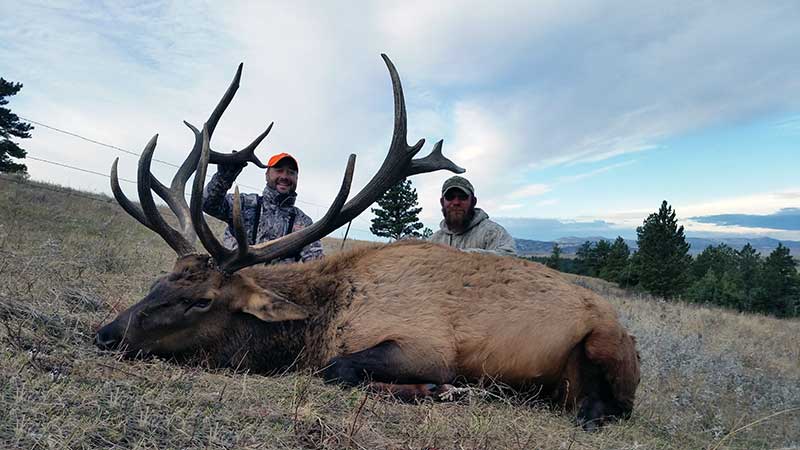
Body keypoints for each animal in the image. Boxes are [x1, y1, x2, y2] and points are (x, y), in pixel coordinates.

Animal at [95, 54, 640, 431]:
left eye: (203, 300)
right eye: (160, 281)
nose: (106, 335)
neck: (319, 319)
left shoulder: (426, 345)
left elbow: (337, 370)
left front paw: (442, 390)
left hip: (603, 345)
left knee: (607, 408)